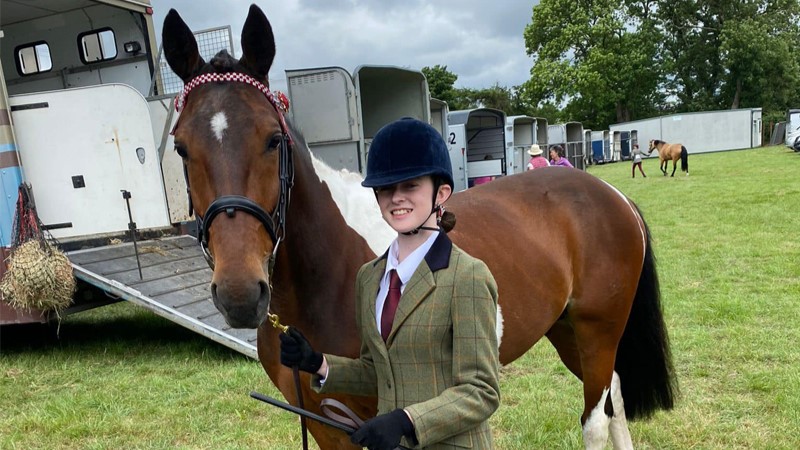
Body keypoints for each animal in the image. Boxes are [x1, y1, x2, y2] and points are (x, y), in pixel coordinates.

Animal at [162, 6, 676, 449]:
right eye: (182, 147)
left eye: (273, 139)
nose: (239, 293)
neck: (326, 274)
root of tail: (610, 195)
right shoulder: (325, 423)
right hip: (570, 332)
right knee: (615, 400)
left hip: (597, 331)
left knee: (595, 420)